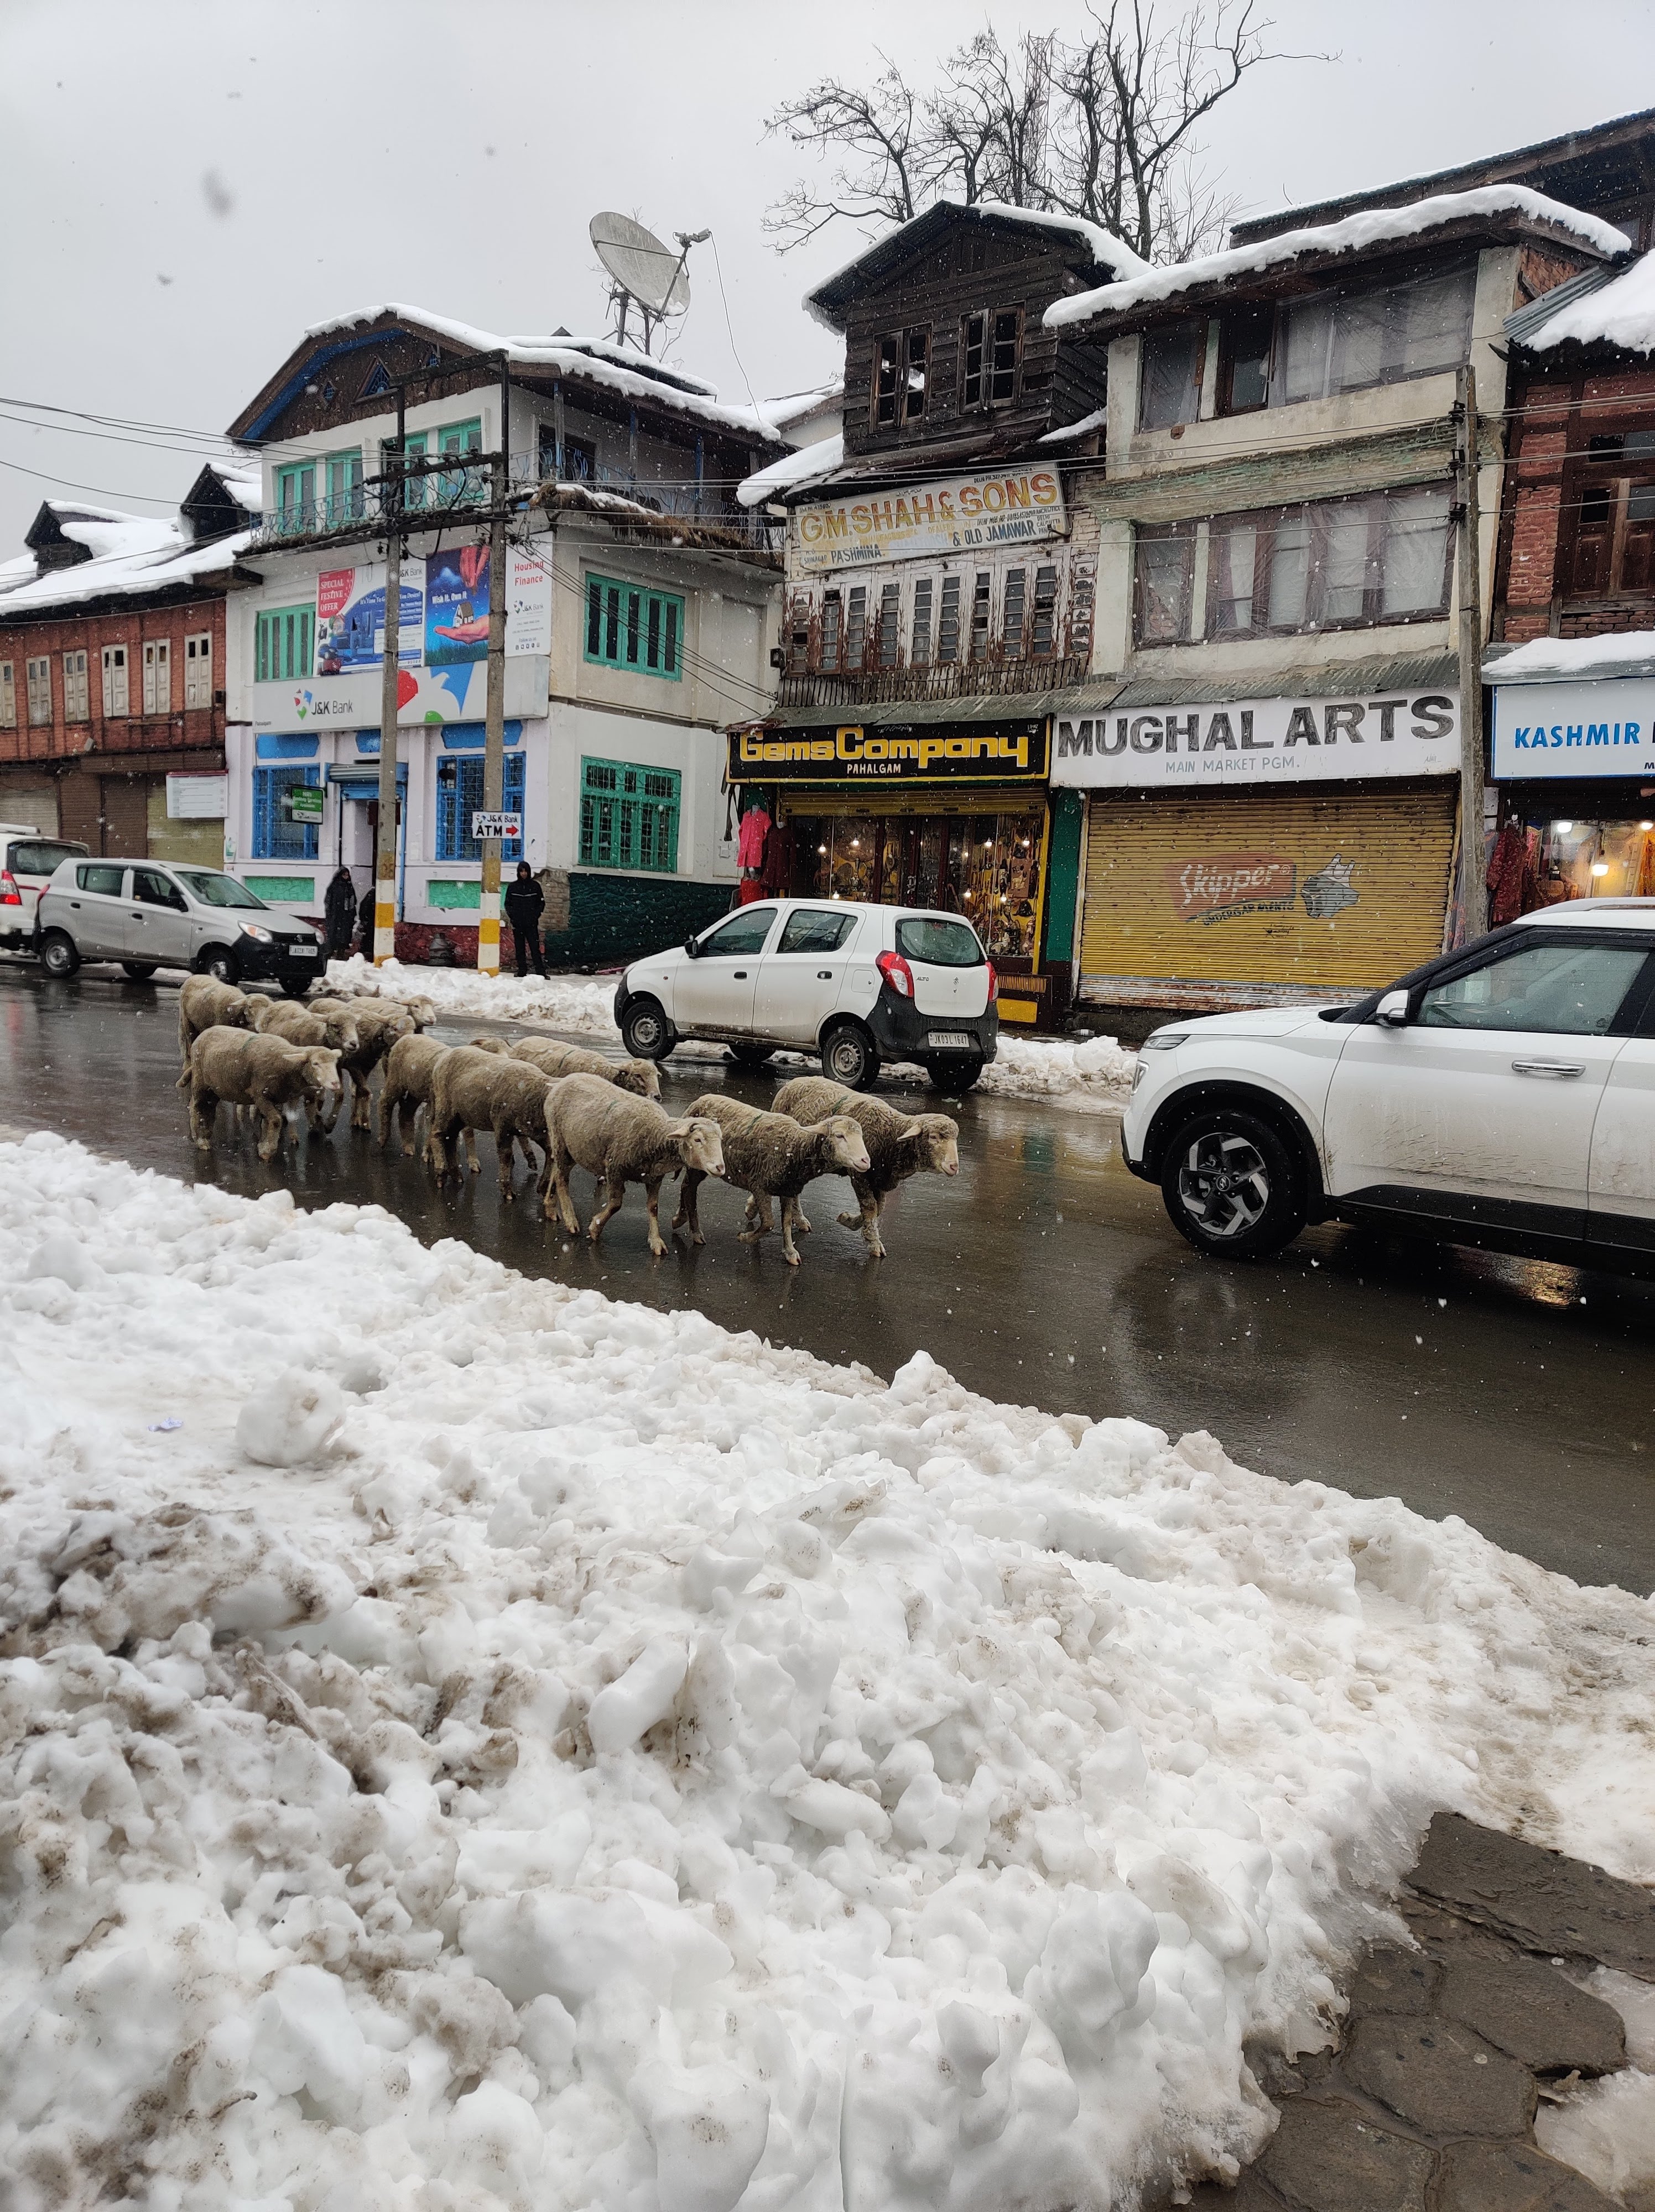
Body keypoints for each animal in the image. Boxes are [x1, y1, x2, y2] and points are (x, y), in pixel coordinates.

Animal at [183, 1026, 341, 1161]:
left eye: (334, 1063)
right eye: (315, 1064)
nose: (335, 1083)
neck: (285, 1064)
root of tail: (204, 1033)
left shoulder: (276, 1097)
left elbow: (268, 1121)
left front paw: (263, 1146)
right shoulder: (260, 1094)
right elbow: (276, 1120)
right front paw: (268, 1150)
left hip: (215, 1088)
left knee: (209, 1108)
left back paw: (207, 1133)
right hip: (200, 1082)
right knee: (196, 1106)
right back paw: (201, 1140)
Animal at [424, 1047, 560, 1200]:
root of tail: (442, 1060)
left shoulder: (538, 1132)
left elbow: (551, 1153)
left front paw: (543, 1188)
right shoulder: (502, 1124)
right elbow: (506, 1155)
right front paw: (507, 1191)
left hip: (461, 1116)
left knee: (450, 1139)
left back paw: (456, 1176)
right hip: (445, 1106)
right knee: (437, 1135)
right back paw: (441, 1175)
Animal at [543, 1073, 724, 1254]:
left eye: (721, 1140)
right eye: (698, 1139)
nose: (720, 1168)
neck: (656, 1135)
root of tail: (563, 1081)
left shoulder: (655, 1177)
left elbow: (653, 1208)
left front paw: (656, 1242)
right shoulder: (615, 1168)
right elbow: (615, 1204)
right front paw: (595, 1228)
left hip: (575, 1149)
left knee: (556, 1171)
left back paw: (550, 1208)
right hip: (559, 1140)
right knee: (562, 1179)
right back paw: (570, 1221)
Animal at [672, 1095, 869, 1266]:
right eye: (839, 1136)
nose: (865, 1161)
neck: (795, 1148)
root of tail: (698, 1101)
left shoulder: (788, 1189)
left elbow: (786, 1222)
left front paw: (790, 1252)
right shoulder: (760, 1187)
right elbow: (768, 1224)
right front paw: (745, 1237)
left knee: (685, 1187)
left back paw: (679, 1219)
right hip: (699, 1164)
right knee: (689, 1189)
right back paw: (695, 1232)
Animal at [772, 1076, 959, 1258]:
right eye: (933, 1137)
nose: (954, 1166)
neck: (889, 1135)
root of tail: (793, 1081)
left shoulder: (880, 1178)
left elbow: (880, 1207)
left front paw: (849, 1220)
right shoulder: (860, 1175)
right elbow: (870, 1207)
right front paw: (873, 1242)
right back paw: (800, 1219)